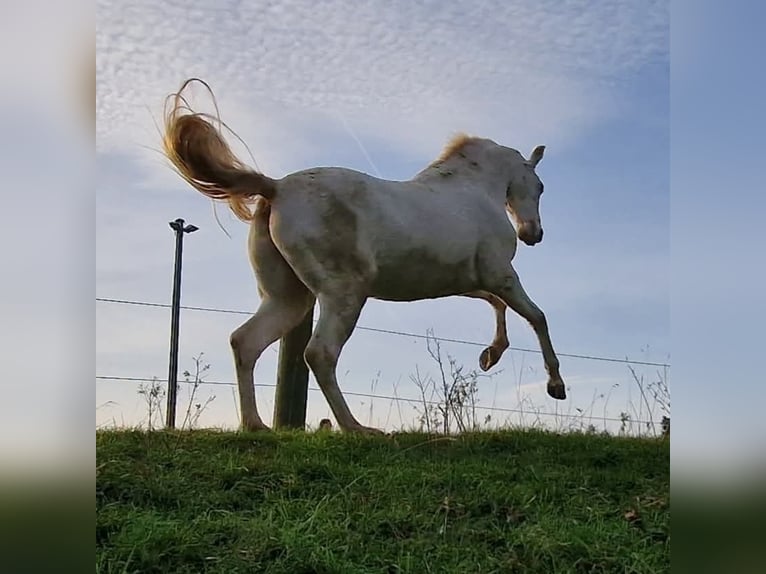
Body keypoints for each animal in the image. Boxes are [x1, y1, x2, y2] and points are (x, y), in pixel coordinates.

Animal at [162, 79, 568, 434]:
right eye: (540, 186)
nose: (533, 235)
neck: (473, 191)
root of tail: (275, 187)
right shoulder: (503, 274)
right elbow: (537, 316)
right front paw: (556, 385)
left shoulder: (466, 281)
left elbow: (496, 305)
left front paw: (489, 356)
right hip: (344, 295)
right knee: (319, 353)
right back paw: (356, 428)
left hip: (289, 299)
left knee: (245, 342)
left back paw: (255, 425)